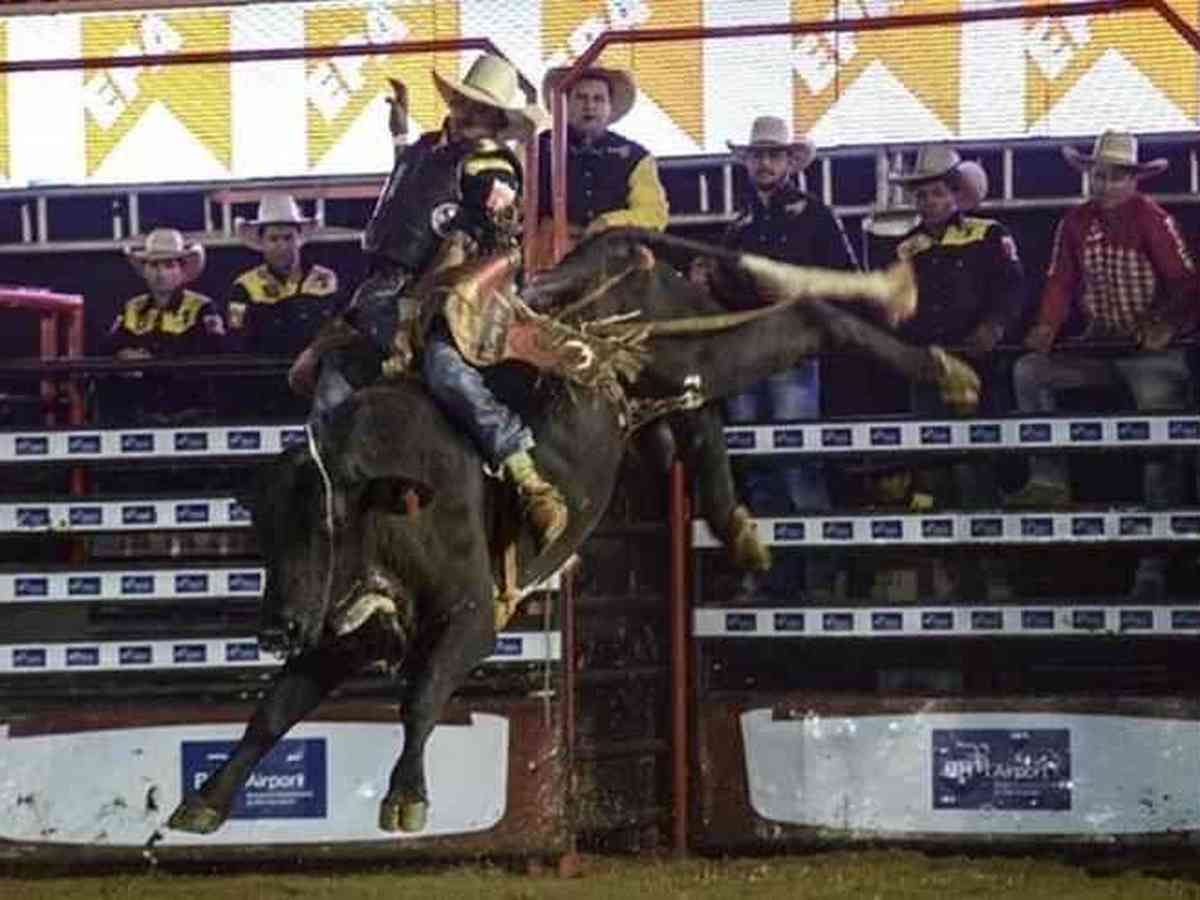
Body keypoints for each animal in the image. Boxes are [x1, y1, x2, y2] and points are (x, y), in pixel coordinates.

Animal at [166, 229, 974, 835]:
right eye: (261, 527)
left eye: (328, 519)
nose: (275, 628)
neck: (397, 501)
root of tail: (610, 245)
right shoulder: (347, 633)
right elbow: (275, 709)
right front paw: (205, 800)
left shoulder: (473, 617)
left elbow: (420, 697)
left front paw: (405, 795)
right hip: (668, 382)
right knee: (703, 419)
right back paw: (736, 526)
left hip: (692, 350)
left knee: (805, 319)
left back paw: (946, 370)